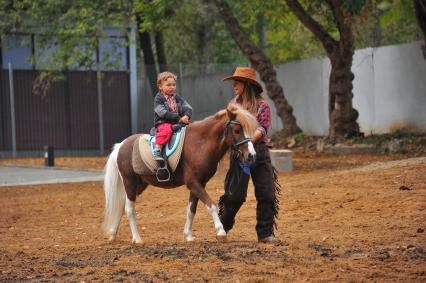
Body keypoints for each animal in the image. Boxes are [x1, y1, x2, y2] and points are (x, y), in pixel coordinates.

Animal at [102, 104, 260, 244]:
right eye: (237, 130)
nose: (251, 156)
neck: (199, 144)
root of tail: (121, 145)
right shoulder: (193, 183)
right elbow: (211, 205)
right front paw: (220, 232)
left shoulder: (199, 183)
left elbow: (191, 210)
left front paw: (188, 236)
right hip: (129, 182)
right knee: (129, 209)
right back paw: (137, 239)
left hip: (140, 185)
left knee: (121, 205)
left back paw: (113, 234)